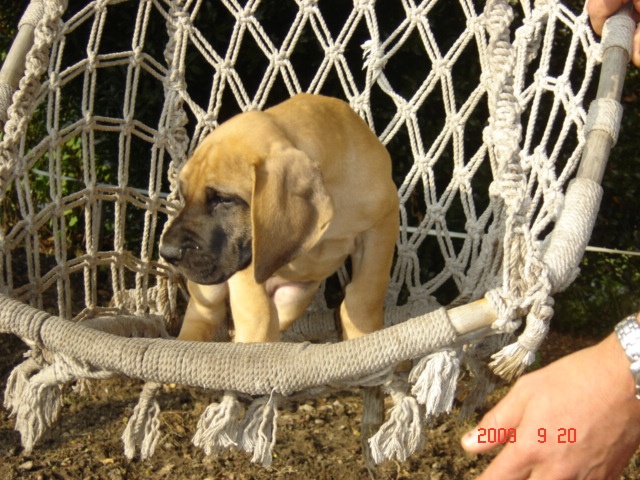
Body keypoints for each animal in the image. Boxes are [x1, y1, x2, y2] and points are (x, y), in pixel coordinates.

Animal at [160, 93, 399, 344]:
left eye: (223, 199)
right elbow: (259, 314)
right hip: (210, 288)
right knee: (205, 313)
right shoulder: (251, 255)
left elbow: (365, 295)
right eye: (184, 197)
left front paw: (365, 334)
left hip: (294, 298)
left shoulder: (381, 229)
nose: (167, 252)